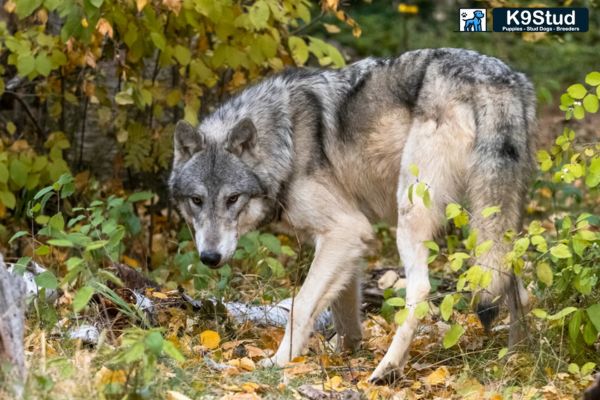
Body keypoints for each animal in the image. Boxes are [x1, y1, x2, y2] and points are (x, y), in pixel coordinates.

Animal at [168, 48, 536, 382]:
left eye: (233, 199)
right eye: (197, 200)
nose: (210, 257)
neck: (286, 142)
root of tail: (493, 79)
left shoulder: (345, 230)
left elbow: (301, 305)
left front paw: (277, 363)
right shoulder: (349, 241)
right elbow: (344, 314)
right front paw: (341, 356)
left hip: (414, 216)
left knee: (421, 289)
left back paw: (387, 370)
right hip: (489, 223)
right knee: (517, 287)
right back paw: (516, 361)